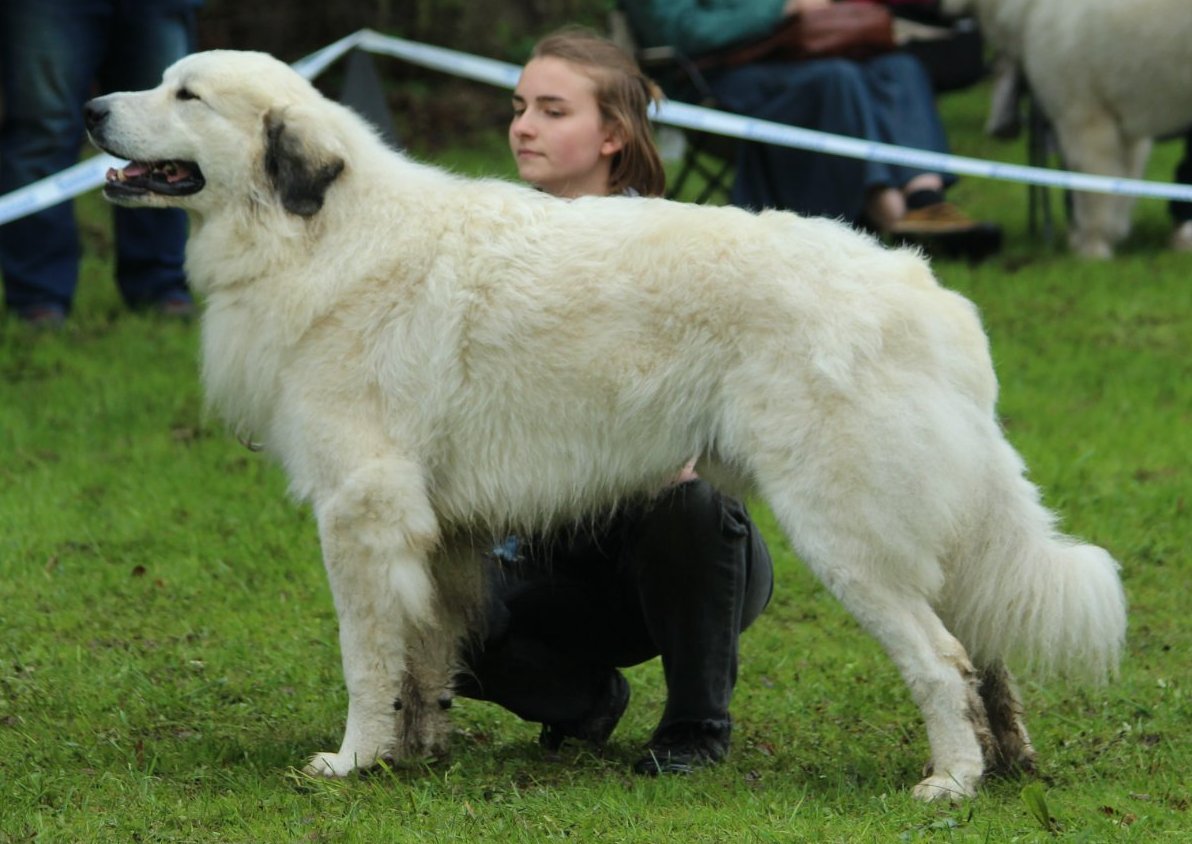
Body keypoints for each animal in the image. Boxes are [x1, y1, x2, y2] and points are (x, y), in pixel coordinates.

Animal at [84, 49, 1125, 801]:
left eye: (185, 92)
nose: (92, 110)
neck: (316, 230)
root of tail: (928, 293)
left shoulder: (361, 509)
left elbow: (366, 657)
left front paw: (355, 760)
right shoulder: (436, 534)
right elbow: (427, 653)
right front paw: (419, 752)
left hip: (846, 528)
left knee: (942, 658)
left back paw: (951, 780)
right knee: (984, 646)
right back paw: (1008, 761)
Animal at [944, 0, 1192, 257]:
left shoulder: (1082, 118)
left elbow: (1092, 189)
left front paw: (1092, 247)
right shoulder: (1125, 129)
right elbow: (1122, 187)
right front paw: (1110, 235)